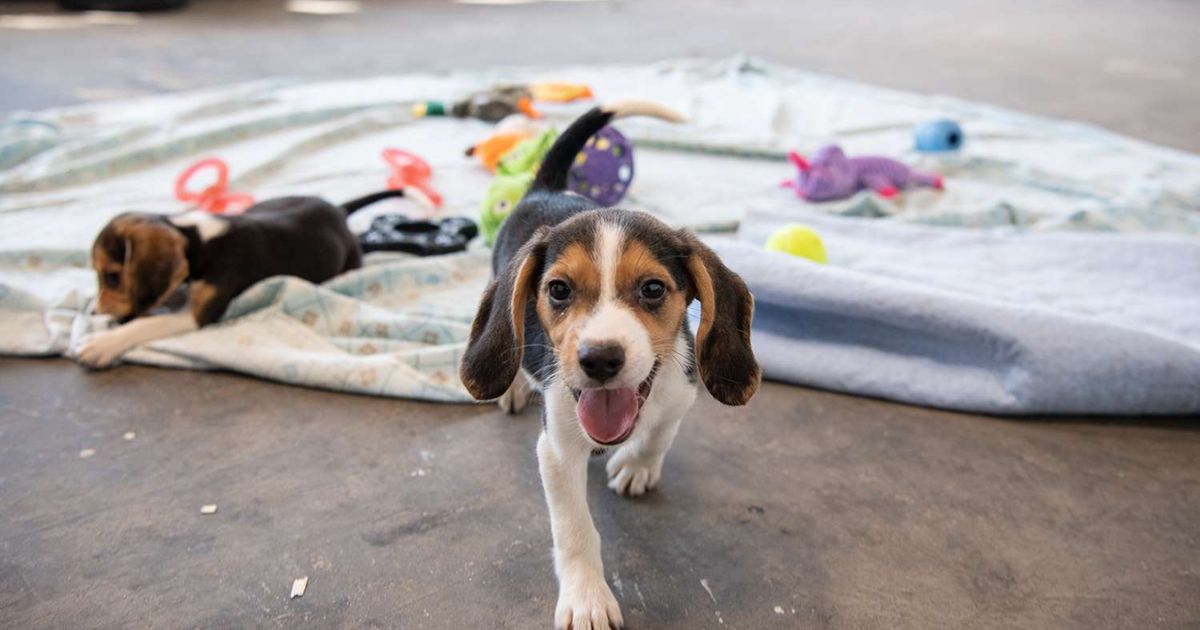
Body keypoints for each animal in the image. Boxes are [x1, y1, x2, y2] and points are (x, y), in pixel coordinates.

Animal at [75, 192, 403, 369]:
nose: (93, 312)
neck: (197, 240)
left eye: (112, 276)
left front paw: (102, 344)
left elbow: (149, 324)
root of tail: (337, 209)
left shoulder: (200, 312)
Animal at [458, 100, 758, 624]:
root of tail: (546, 189)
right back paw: (514, 386)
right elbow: (575, 529)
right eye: (559, 290)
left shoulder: (679, 396)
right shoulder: (556, 450)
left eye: (653, 289)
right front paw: (587, 598)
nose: (599, 359)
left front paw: (638, 465)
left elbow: (659, 435)